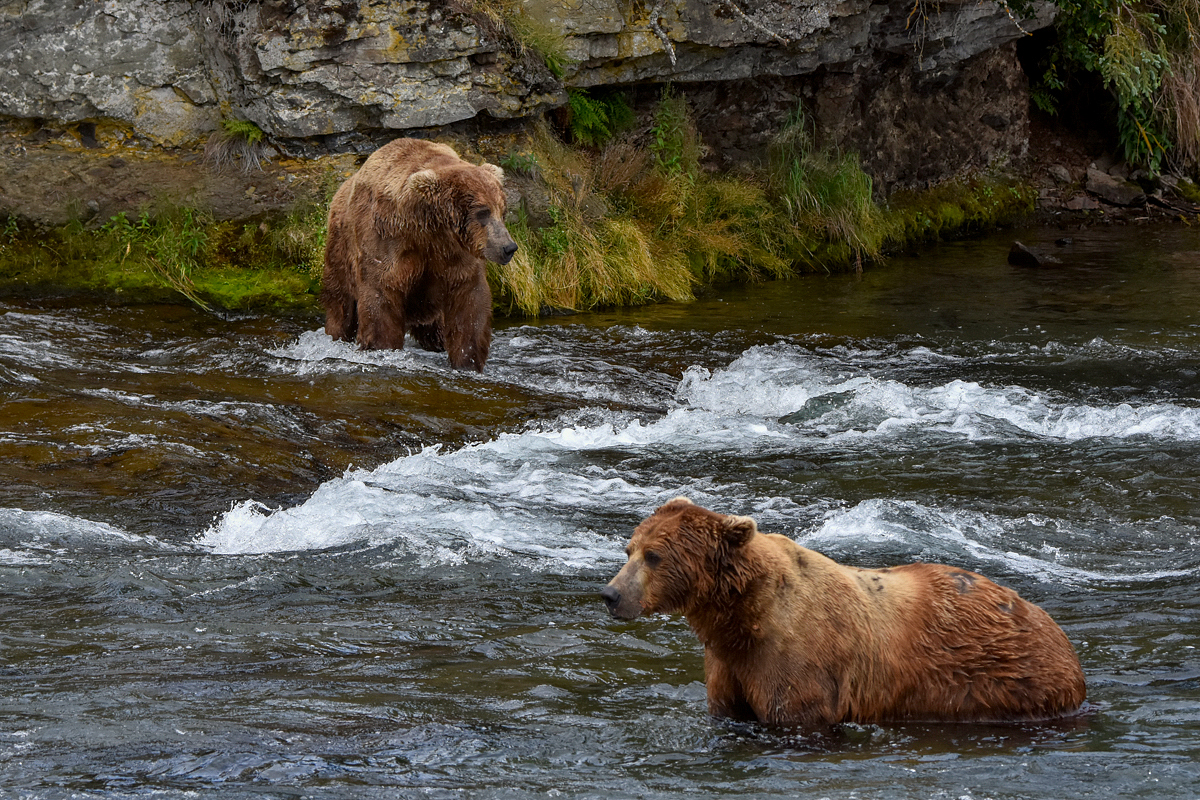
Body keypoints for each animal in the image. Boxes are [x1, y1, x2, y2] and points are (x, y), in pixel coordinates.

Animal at [321, 138, 518, 371]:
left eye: (502, 211)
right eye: (482, 212)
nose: (508, 247)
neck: (428, 228)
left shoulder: (452, 255)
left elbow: (469, 302)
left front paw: (468, 360)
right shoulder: (387, 241)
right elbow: (380, 296)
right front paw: (381, 348)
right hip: (340, 250)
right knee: (340, 304)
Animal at [600, 501, 1089, 734]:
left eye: (655, 555)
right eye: (629, 549)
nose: (610, 594)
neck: (743, 618)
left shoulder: (795, 660)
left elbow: (795, 712)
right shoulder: (728, 665)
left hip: (1007, 680)